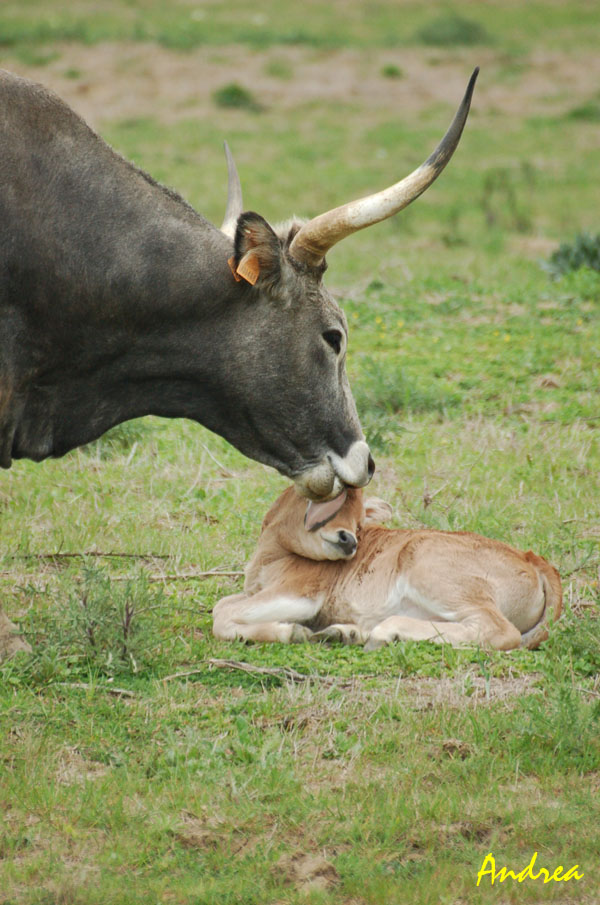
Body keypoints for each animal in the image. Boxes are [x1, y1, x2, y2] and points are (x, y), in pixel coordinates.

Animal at [212, 488, 564, 648]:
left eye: (358, 519)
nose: (349, 540)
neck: (270, 557)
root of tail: (532, 559)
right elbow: (223, 606)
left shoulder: (301, 592)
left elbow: (221, 615)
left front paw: (292, 631)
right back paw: (344, 632)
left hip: (433, 572)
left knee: (499, 630)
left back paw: (383, 631)